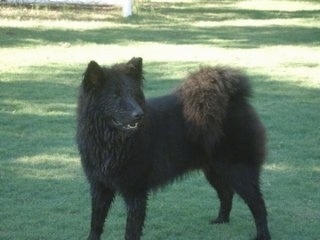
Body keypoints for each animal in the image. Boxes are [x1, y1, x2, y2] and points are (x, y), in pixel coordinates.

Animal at [77, 57, 270, 239]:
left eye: (133, 94)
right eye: (115, 96)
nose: (138, 115)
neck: (110, 141)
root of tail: (234, 99)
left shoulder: (135, 191)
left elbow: (131, 231)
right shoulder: (100, 186)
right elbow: (96, 223)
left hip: (239, 171)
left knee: (258, 204)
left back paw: (262, 235)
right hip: (214, 170)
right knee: (226, 193)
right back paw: (221, 220)